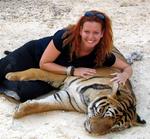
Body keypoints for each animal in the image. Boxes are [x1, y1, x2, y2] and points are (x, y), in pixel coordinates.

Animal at [4, 47, 145, 135]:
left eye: (115, 127)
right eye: (105, 113)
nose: (92, 131)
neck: (88, 98)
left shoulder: (65, 99)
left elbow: (41, 106)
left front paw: (19, 110)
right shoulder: (64, 76)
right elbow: (36, 71)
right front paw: (10, 75)